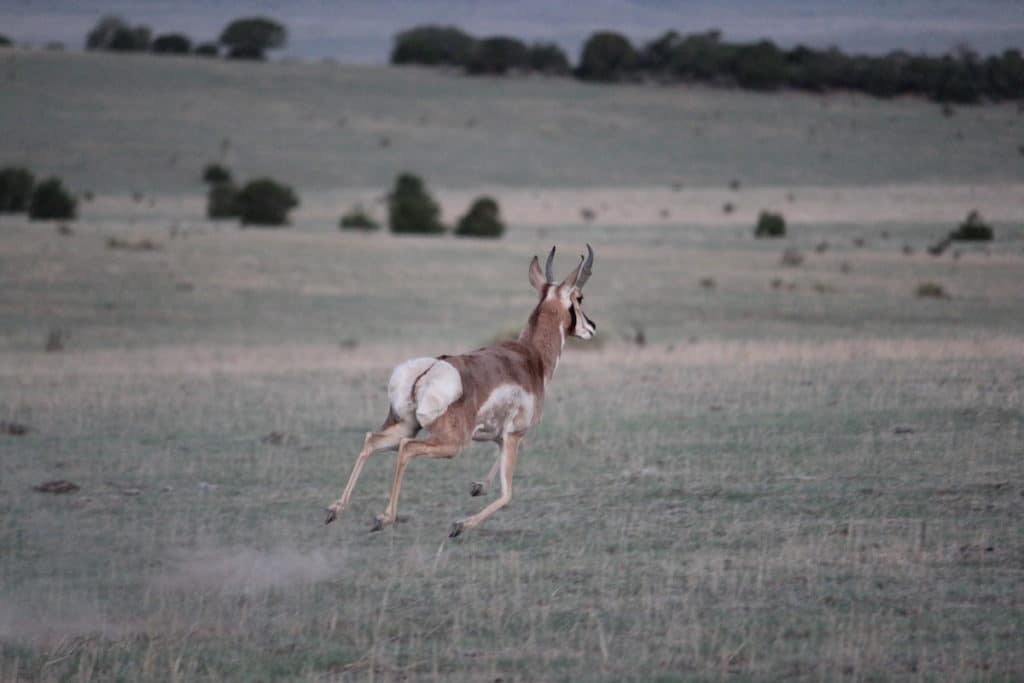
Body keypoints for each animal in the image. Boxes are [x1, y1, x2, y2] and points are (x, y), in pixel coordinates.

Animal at [323, 245, 598, 540]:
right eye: (579, 297)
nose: (592, 327)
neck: (530, 357)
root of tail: (429, 369)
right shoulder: (514, 435)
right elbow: (507, 495)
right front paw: (459, 525)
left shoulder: (502, 437)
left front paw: (478, 487)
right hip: (451, 444)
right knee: (407, 448)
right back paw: (384, 518)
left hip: (405, 427)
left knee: (372, 441)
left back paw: (335, 510)